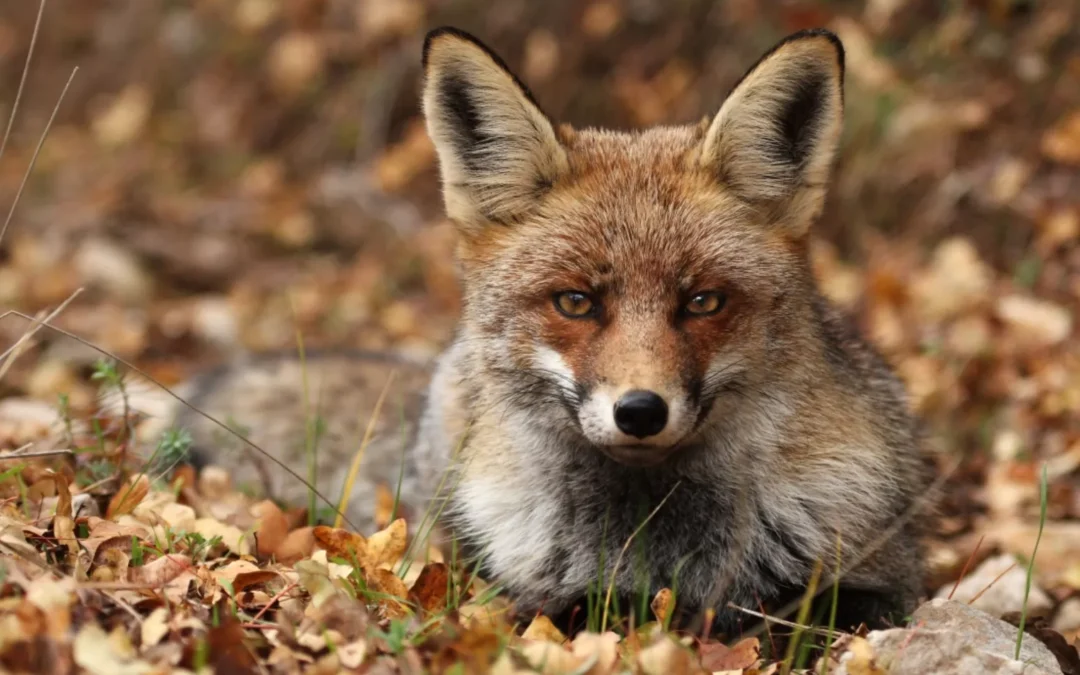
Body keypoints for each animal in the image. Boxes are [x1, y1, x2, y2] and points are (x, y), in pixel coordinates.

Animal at [164, 26, 933, 635]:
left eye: (704, 301)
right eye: (575, 301)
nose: (640, 411)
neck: (652, 545)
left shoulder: (878, 579)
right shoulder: (509, 585)